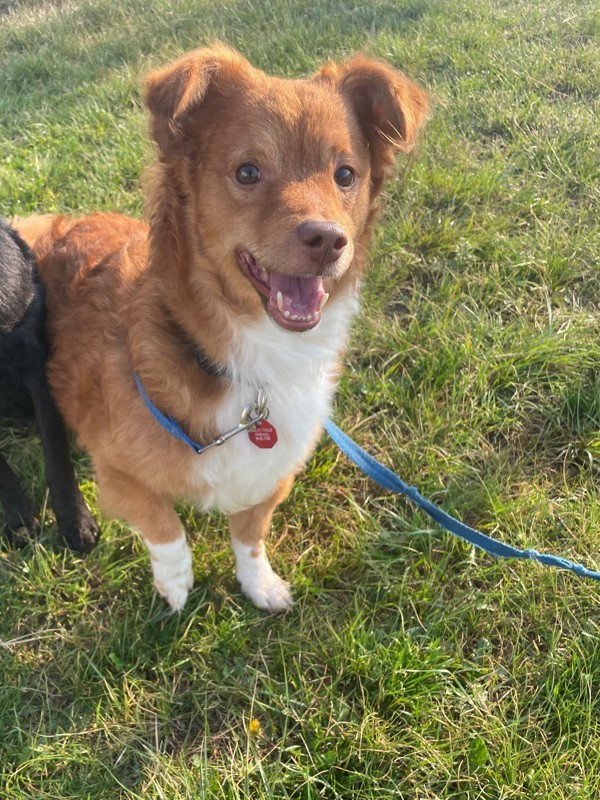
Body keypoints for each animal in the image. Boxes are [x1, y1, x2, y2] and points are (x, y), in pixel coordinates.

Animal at [18, 45, 428, 612]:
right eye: (248, 172)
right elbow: (165, 526)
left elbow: (250, 533)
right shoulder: (118, 476)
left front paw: (259, 583)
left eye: (345, 175)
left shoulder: (273, 473)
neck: (250, 356)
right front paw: (174, 584)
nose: (328, 240)